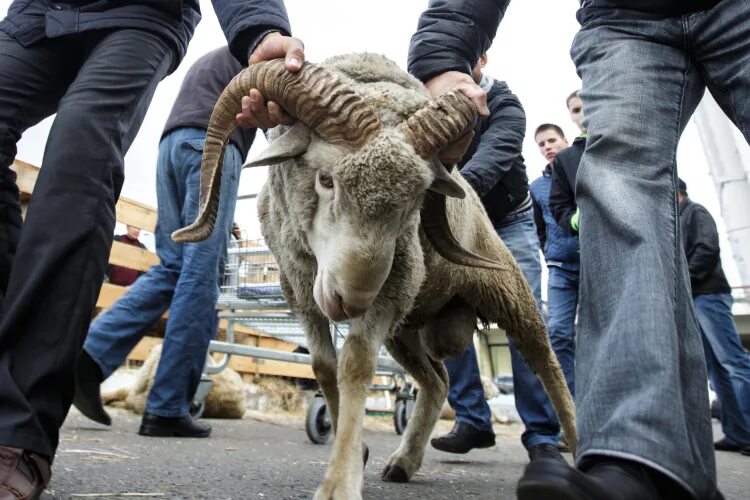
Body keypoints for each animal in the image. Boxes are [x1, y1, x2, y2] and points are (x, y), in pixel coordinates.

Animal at [175, 52, 576, 500]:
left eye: (416, 202)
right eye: (325, 178)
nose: (351, 300)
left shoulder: (394, 284)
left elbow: (355, 364)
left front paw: (339, 482)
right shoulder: (301, 290)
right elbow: (323, 367)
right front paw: (355, 450)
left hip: (504, 289)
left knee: (548, 365)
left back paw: (577, 447)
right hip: (405, 328)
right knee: (437, 381)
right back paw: (404, 460)